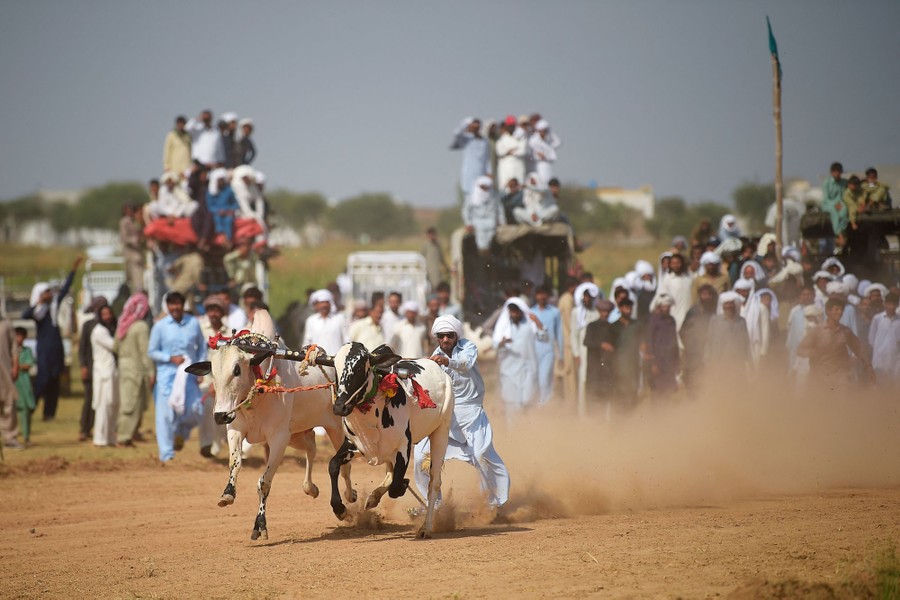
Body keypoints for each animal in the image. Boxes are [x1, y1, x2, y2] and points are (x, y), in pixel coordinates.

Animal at [185, 312, 356, 540]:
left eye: (237, 369)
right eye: (212, 371)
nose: (220, 415)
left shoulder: (278, 438)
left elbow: (264, 482)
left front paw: (260, 525)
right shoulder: (235, 430)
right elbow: (235, 463)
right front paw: (228, 493)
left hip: (336, 429)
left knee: (344, 465)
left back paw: (349, 498)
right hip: (297, 435)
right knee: (311, 447)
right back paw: (310, 488)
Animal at [320, 342, 454, 540]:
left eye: (360, 367)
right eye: (335, 368)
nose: (339, 406)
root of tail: (438, 368)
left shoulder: (404, 449)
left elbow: (397, 486)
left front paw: (404, 484)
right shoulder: (353, 445)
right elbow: (333, 465)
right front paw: (340, 508)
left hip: (441, 433)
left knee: (433, 483)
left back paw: (425, 527)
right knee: (390, 473)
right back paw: (373, 498)